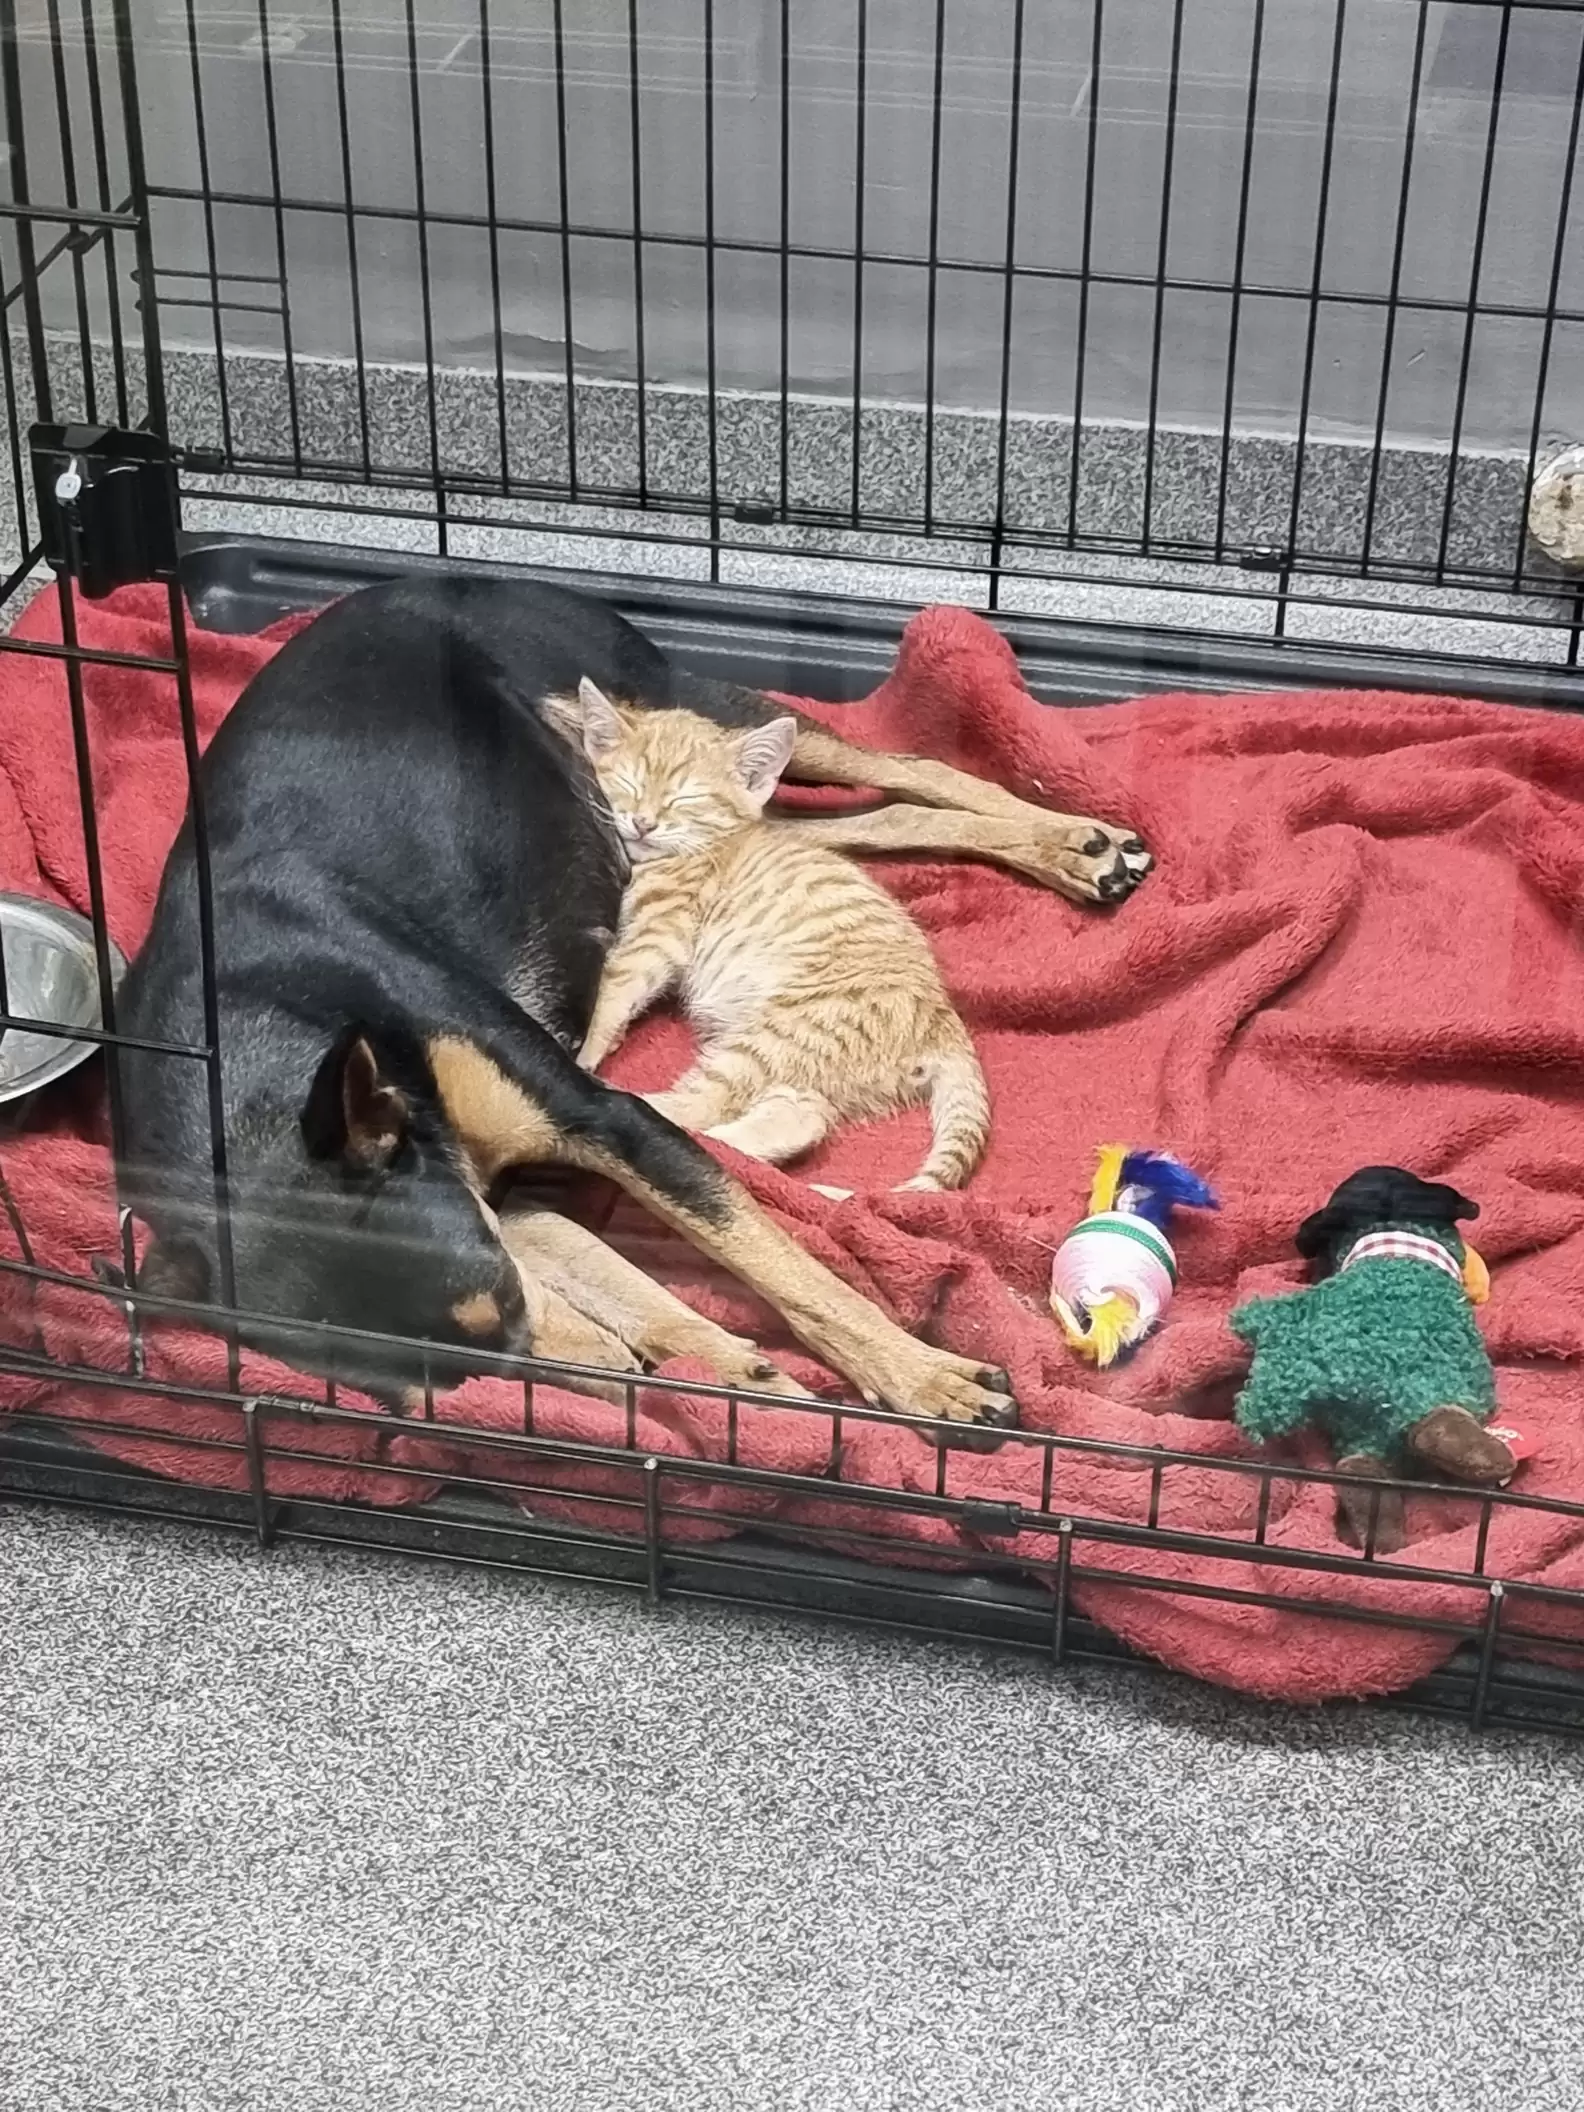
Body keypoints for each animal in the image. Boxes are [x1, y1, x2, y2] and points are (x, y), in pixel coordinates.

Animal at [553, 684, 988, 1199]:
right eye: (629, 782)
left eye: (686, 797)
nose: (643, 823)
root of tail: (944, 1022)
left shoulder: (660, 935)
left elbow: (614, 989)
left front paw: (586, 1051)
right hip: (804, 1063)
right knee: (802, 1117)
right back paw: (734, 1149)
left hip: (783, 1032)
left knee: (704, 1102)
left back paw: (634, 1104)